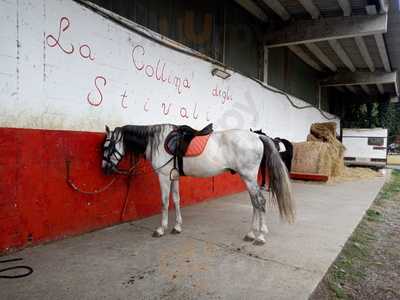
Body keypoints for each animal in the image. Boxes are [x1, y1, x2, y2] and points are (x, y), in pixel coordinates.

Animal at [101, 123, 294, 244]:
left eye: (106, 146)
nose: (105, 169)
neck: (158, 141)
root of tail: (257, 136)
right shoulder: (174, 177)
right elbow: (176, 200)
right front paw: (177, 227)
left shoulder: (163, 177)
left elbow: (164, 202)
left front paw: (161, 229)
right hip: (248, 179)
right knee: (255, 204)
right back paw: (251, 233)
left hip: (249, 178)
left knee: (260, 202)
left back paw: (260, 236)